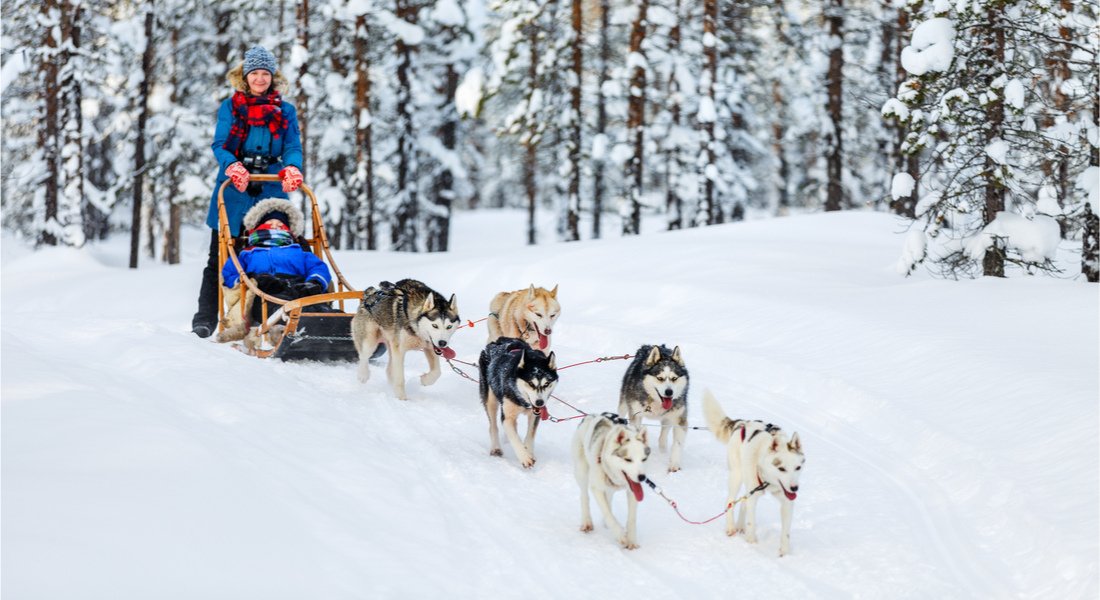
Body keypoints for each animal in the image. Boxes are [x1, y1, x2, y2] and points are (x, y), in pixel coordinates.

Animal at [479, 336, 558, 466]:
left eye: (547, 383)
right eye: (531, 383)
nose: (540, 402)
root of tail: (501, 340)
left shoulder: (535, 415)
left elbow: (530, 434)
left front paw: (528, 450)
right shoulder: (507, 417)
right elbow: (514, 438)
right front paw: (524, 457)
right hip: (490, 400)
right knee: (493, 426)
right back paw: (496, 447)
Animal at [572, 411, 646, 548]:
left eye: (644, 459)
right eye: (628, 459)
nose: (642, 477)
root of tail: (591, 415)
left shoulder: (632, 492)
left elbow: (632, 518)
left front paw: (632, 539)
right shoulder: (597, 488)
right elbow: (607, 514)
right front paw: (620, 534)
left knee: (609, 498)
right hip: (582, 471)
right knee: (584, 496)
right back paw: (587, 521)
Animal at [620, 343, 686, 471]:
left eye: (674, 378)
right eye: (660, 378)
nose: (669, 392)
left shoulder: (679, 418)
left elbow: (677, 443)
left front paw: (674, 464)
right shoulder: (635, 415)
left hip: (667, 419)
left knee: (663, 436)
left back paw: (662, 450)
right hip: (624, 404)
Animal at [704, 387, 809, 557]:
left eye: (798, 468)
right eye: (781, 468)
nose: (794, 488)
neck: (769, 480)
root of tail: (742, 423)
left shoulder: (787, 502)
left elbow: (786, 532)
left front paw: (784, 553)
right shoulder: (754, 495)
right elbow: (751, 521)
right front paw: (751, 543)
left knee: (743, 502)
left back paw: (740, 526)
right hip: (737, 476)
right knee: (730, 501)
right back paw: (731, 527)